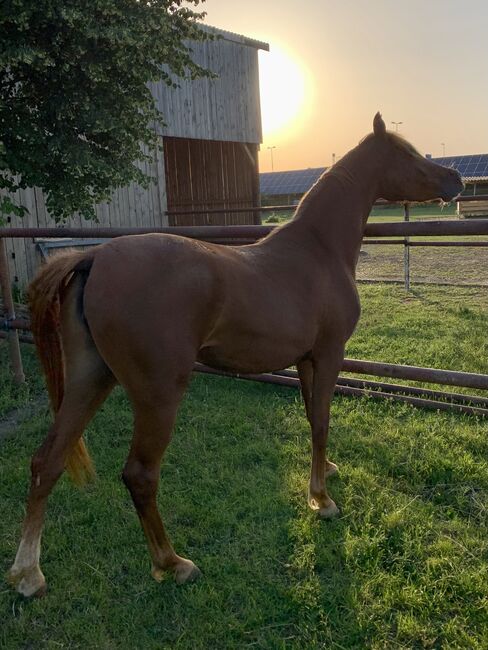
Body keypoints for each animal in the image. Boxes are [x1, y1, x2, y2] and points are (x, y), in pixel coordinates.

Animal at [8, 112, 466, 592]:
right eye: (407, 153)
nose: (456, 179)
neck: (318, 251)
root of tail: (95, 258)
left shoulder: (305, 361)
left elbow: (312, 419)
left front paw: (324, 473)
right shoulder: (328, 355)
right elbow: (323, 420)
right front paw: (321, 500)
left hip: (89, 379)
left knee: (47, 460)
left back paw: (27, 573)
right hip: (158, 394)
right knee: (140, 474)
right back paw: (171, 563)